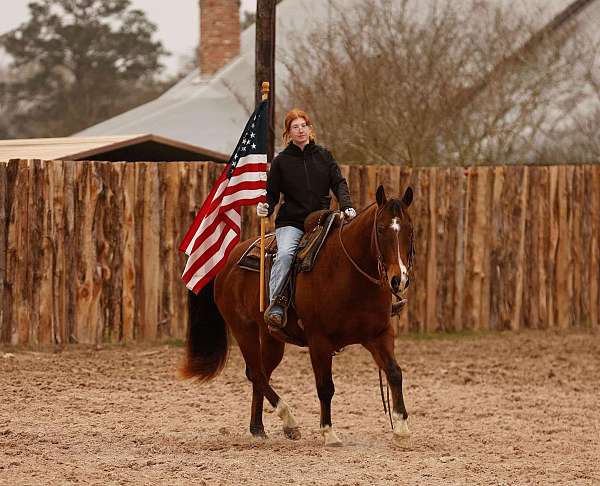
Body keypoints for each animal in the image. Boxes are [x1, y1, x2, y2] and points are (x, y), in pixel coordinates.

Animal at [180, 184, 414, 446]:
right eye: (381, 229)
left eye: (409, 229)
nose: (399, 279)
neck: (349, 273)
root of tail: (227, 261)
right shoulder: (319, 341)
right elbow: (325, 386)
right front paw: (328, 432)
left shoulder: (379, 335)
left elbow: (395, 373)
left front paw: (401, 428)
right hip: (243, 329)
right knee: (255, 373)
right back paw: (289, 421)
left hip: (271, 337)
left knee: (261, 373)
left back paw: (258, 427)